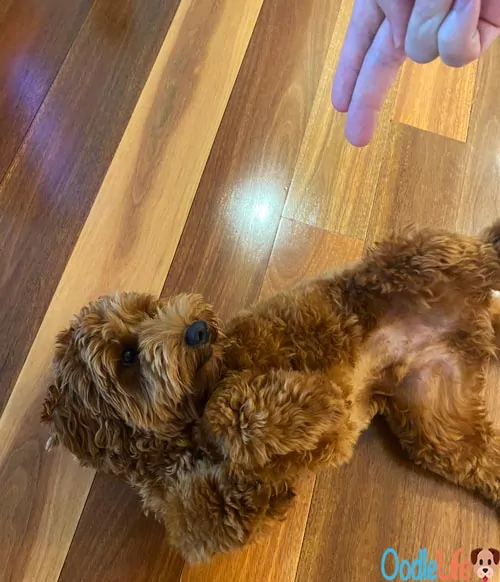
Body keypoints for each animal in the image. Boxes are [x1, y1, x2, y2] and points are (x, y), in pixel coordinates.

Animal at [42, 222, 500, 560]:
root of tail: (473, 321)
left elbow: (229, 410)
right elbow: (219, 505)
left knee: (485, 252)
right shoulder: (213, 520)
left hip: (416, 258)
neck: (179, 437)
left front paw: (316, 405)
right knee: (485, 460)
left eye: (151, 309)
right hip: (441, 431)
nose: (198, 329)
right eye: (127, 356)